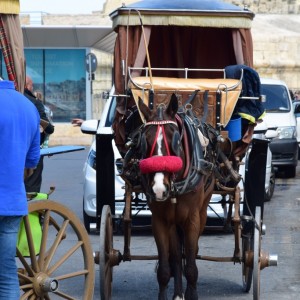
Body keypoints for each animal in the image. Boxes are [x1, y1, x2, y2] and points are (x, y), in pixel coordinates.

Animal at [138, 94, 216, 300]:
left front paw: (191, 293)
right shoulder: (160, 220)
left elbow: (191, 263)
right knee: (175, 256)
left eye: (174, 139)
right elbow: (166, 267)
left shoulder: (192, 218)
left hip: (202, 211)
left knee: (191, 252)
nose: (158, 188)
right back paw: (178, 291)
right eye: (144, 140)